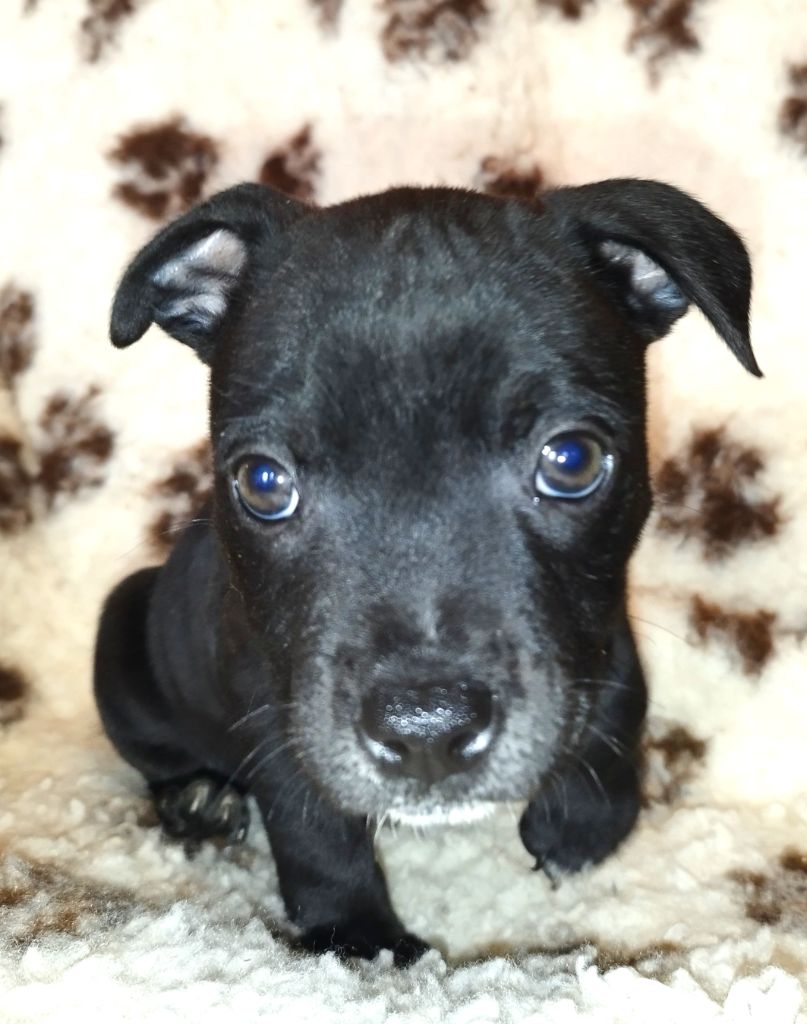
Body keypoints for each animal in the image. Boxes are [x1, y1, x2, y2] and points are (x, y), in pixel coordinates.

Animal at [94, 178, 760, 965]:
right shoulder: (280, 703)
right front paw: (360, 937)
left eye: (572, 461)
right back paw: (197, 799)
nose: (426, 730)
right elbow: (315, 827)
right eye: (263, 482)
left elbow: (619, 697)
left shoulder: (600, 618)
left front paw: (581, 822)